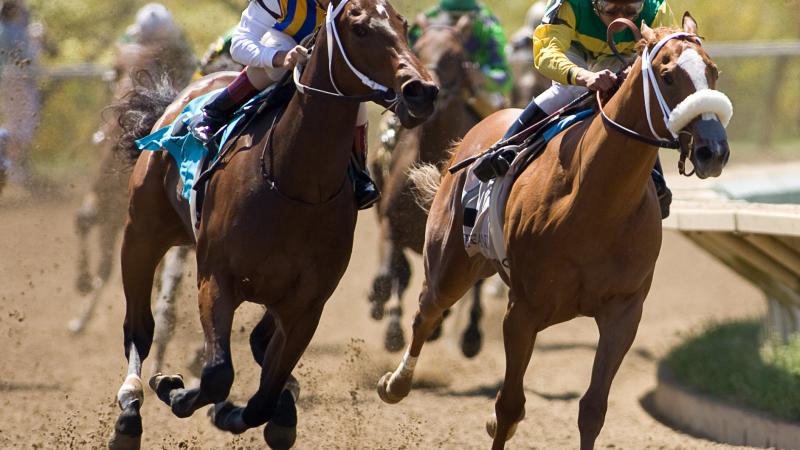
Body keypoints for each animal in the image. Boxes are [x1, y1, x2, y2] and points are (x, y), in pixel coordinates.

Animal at [108, 0, 438, 450]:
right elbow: (217, 373)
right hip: (141, 234)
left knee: (259, 347)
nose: (422, 91)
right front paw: (171, 387)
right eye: (359, 28)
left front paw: (243, 412)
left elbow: (263, 393)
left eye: (403, 25)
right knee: (139, 327)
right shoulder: (217, 279)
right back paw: (129, 411)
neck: (296, 185)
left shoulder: (307, 303)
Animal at [368, 14, 488, 356]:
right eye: (418, 48)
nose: (428, 90)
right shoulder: (393, 221)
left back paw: (469, 335)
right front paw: (391, 326)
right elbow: (395, 274)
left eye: (456, 56)